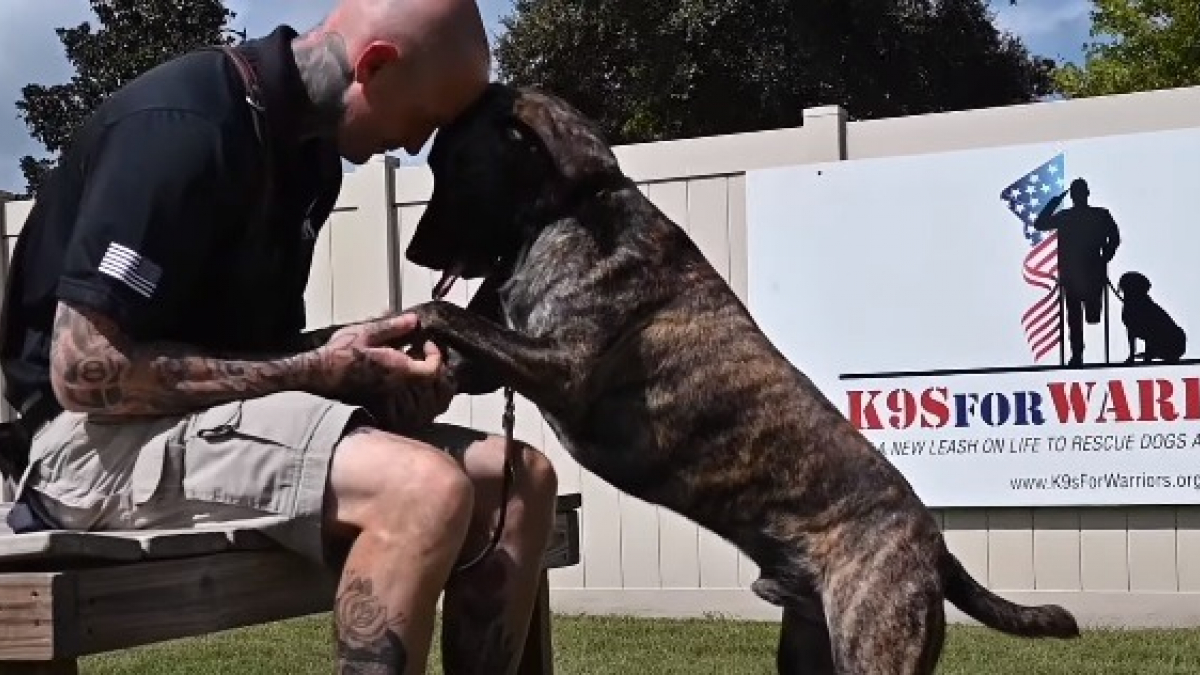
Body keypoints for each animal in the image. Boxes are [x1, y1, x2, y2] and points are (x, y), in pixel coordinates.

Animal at [398, 84, 1084, 672]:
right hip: (808, 649)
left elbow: (441, 311)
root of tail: (936, 551)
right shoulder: (499, 359)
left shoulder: (561, 367)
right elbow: (453, 339)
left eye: (451, 164)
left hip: (873, 644)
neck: (573, 207)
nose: (412, 252)